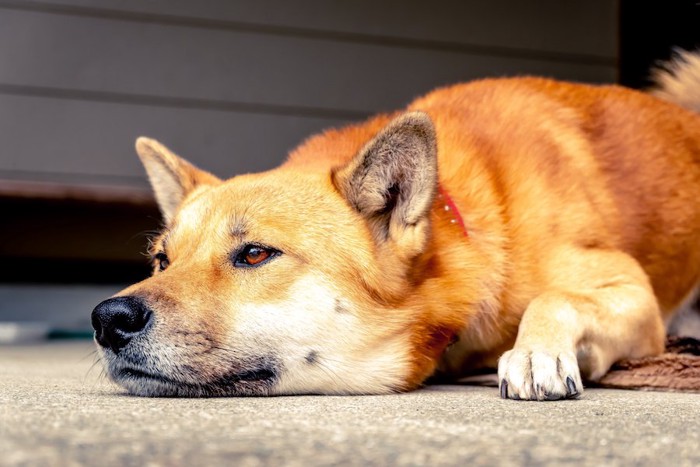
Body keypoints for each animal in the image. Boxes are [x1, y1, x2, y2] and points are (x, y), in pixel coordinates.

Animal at [93, 52, 700, 402]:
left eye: (256, 254)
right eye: (162, 260)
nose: (107, 319)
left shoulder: (633, 293)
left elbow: (556, 298)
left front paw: (535, 351)